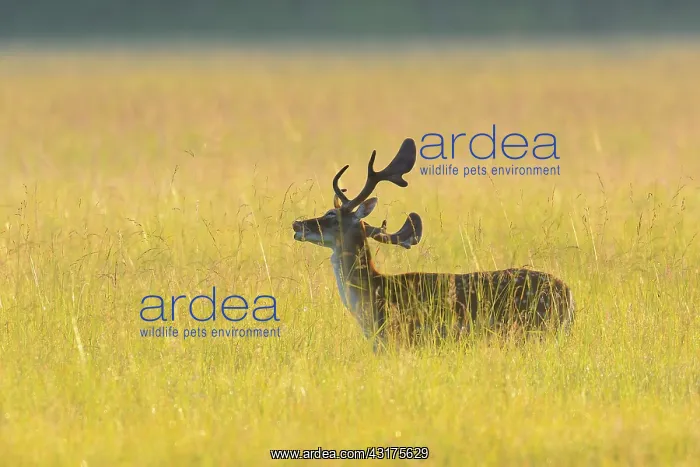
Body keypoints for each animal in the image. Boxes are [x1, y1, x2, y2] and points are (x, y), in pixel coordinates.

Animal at [292, 138, 575, 350]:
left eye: (331, 215)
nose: (296, 224)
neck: (372, 295)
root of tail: (570, 295)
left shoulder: (402, 338)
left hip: (532, 330)